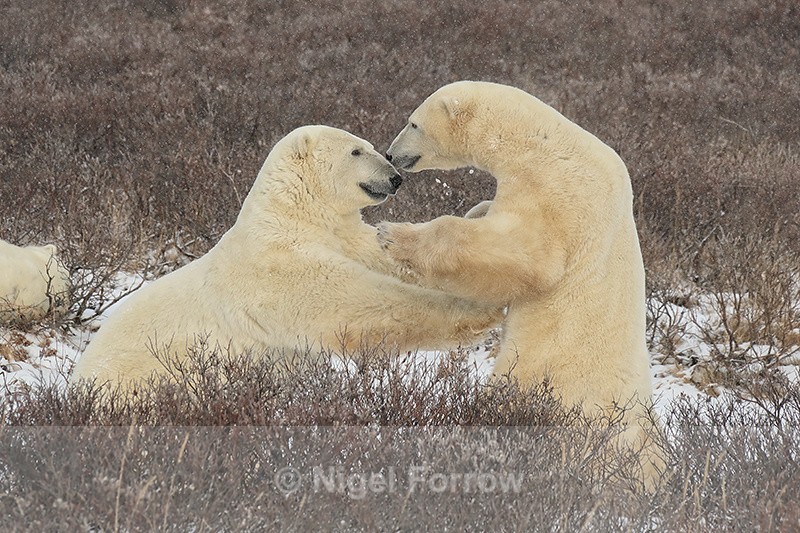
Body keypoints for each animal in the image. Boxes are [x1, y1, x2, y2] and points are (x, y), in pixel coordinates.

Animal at [70, 125, 502, 389]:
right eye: (356, 150)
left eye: (374, 147)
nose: (395, 178)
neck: (293, 215)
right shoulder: (276, 264)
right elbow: (351, 305)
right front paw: (478, 312)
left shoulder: (342, 237)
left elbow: (381, 256)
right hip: (143, 374)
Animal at [379, 81, 663, 488]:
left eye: (413, 122)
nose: (391, 154)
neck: (538, 143)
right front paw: (477, 209)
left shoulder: (555, 192)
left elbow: (525, 254)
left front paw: (394, 235)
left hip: (549, 389)